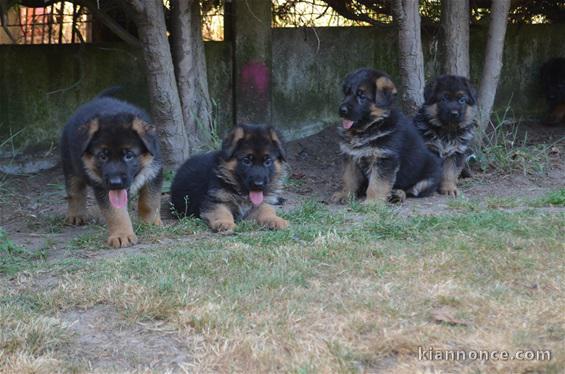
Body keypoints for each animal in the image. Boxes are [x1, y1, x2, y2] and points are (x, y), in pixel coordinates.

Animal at [62, 88, 163, 248]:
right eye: (103, 156)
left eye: (129, 155)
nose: (115, 183)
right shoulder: (103, 186)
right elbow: (116, 213)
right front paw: (122, 235)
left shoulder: (154, 171)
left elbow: (150, 201)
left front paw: (150, 222)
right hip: (70, 166)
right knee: (74, 192)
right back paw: (76, 214)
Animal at [330, 70, 440, 205]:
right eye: (346, 93)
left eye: (362, 96)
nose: (342, 110)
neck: (373, 126)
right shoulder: (351, 156)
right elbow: (348, 178)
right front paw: (345, 194)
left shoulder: (384, 158)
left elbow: (377, 183)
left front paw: (372, 202)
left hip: (427, 178)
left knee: (410, 191)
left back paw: (397, 194)